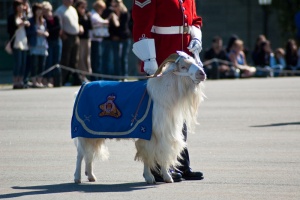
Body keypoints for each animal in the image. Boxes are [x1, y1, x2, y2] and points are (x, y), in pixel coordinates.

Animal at [73, 51, 205, 184]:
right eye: (183, 66)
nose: (202, 74)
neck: (161, 95)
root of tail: (83, 86)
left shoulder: (164, 133)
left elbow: (162, 153)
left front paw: (167, 177)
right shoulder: (149, 133)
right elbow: (148, 154)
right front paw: (150, 177)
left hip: (93, 133)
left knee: (89, 153)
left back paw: (91, 176)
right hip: (82, 131)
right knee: (80, 154)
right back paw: (77, 178)